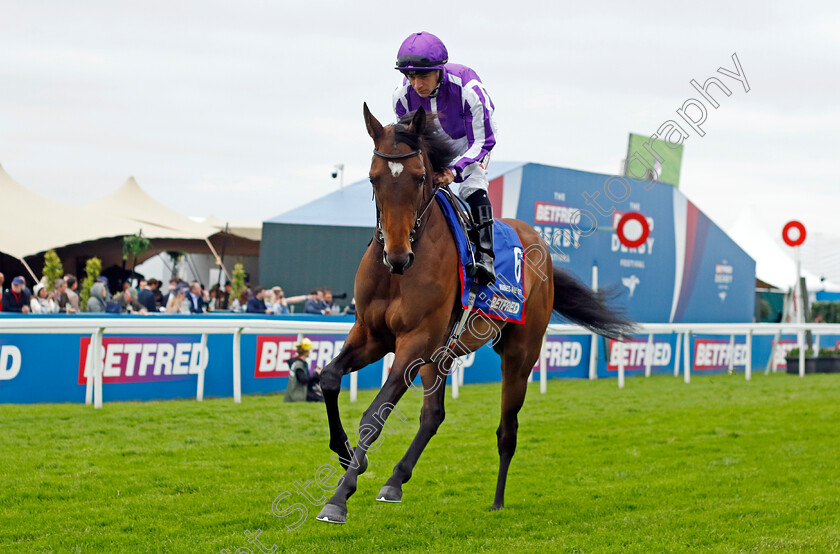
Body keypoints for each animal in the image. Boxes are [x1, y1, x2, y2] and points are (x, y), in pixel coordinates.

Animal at [316, 103, 632, 520]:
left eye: (420, 178)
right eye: (373, 178)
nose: (398, 256)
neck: (398, 275)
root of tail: (541, 247)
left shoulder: (414, 342)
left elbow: (375, 414)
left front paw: (339, 497)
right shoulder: (371, 334)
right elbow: (328, 378)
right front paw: (347, 454)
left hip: (518, 354)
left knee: (507, 430)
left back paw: (497, 500)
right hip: (442, 354)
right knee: (433, 415)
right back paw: (395, 481)